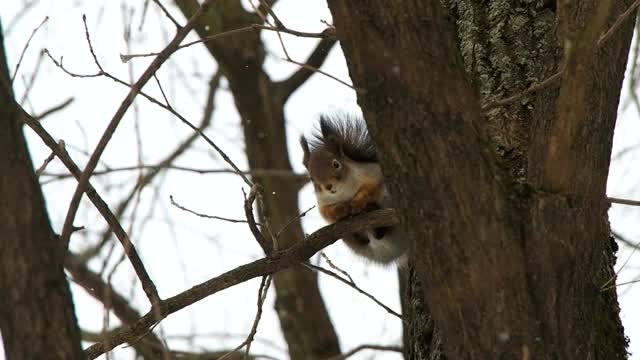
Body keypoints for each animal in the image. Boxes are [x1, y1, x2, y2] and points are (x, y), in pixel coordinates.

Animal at [298, 114, 408, 262]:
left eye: (336, 164)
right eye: (311, 178)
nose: (328, 186)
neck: (344, 191)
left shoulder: (374, 173)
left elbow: (370, 188)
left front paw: (357, 202)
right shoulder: (322, 202)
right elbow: (327, 213)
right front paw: (342, 209)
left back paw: (371, 209)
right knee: (365, 239)